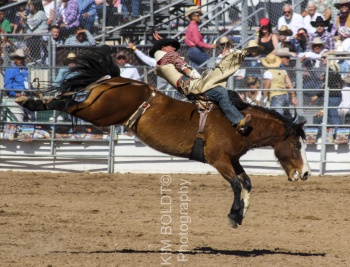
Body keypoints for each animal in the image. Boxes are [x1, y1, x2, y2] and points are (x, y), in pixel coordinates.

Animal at [16, 49, 312, 228]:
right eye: (297, 144)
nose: (307, 173)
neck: (238, 122)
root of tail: (116, 80)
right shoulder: (218, 160)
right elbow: (238, 185)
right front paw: (233, 216)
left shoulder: (232, 159)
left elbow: (247, 183)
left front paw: (238, 217)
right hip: (99, 113)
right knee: (66, 104)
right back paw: (31, 101)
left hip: (97, 110)